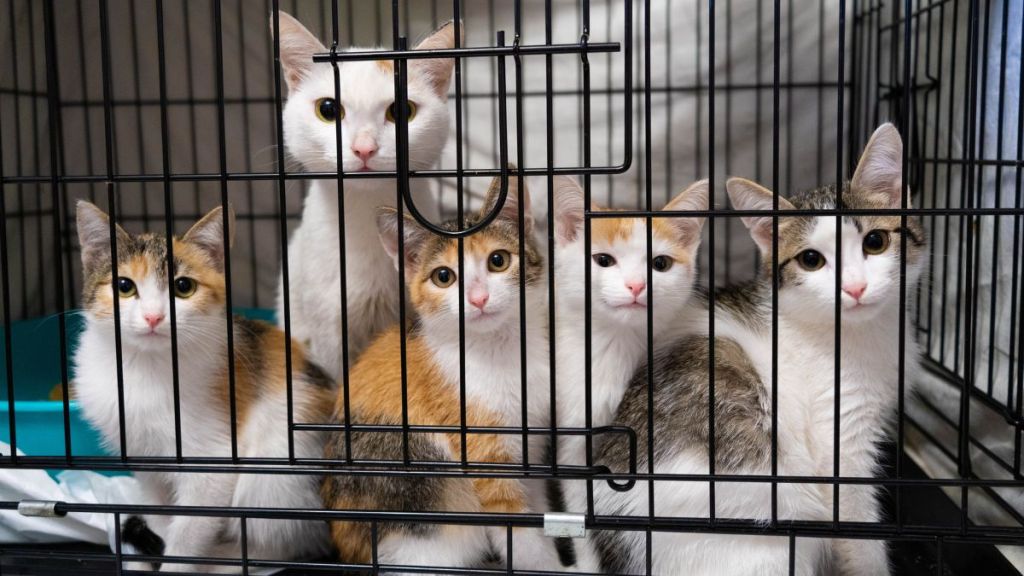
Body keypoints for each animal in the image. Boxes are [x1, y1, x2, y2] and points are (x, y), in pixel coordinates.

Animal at [74, 200, 333, 569]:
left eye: (184, 287)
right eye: (124, 286)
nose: (153, 317)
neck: (145, 366)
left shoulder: (212, 462)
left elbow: (189, 530)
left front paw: (176, 564)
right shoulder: (144, 458)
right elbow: (161, 514)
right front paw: (156, 544)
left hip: (275, 475)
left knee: (289, 541)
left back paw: (229, 559)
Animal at [548, 176, 708, 569]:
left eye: (660, 263)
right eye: (603, 260)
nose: (636, 285)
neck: (615, 346)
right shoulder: (573, 425)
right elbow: (578, 507)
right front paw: (589, 563)